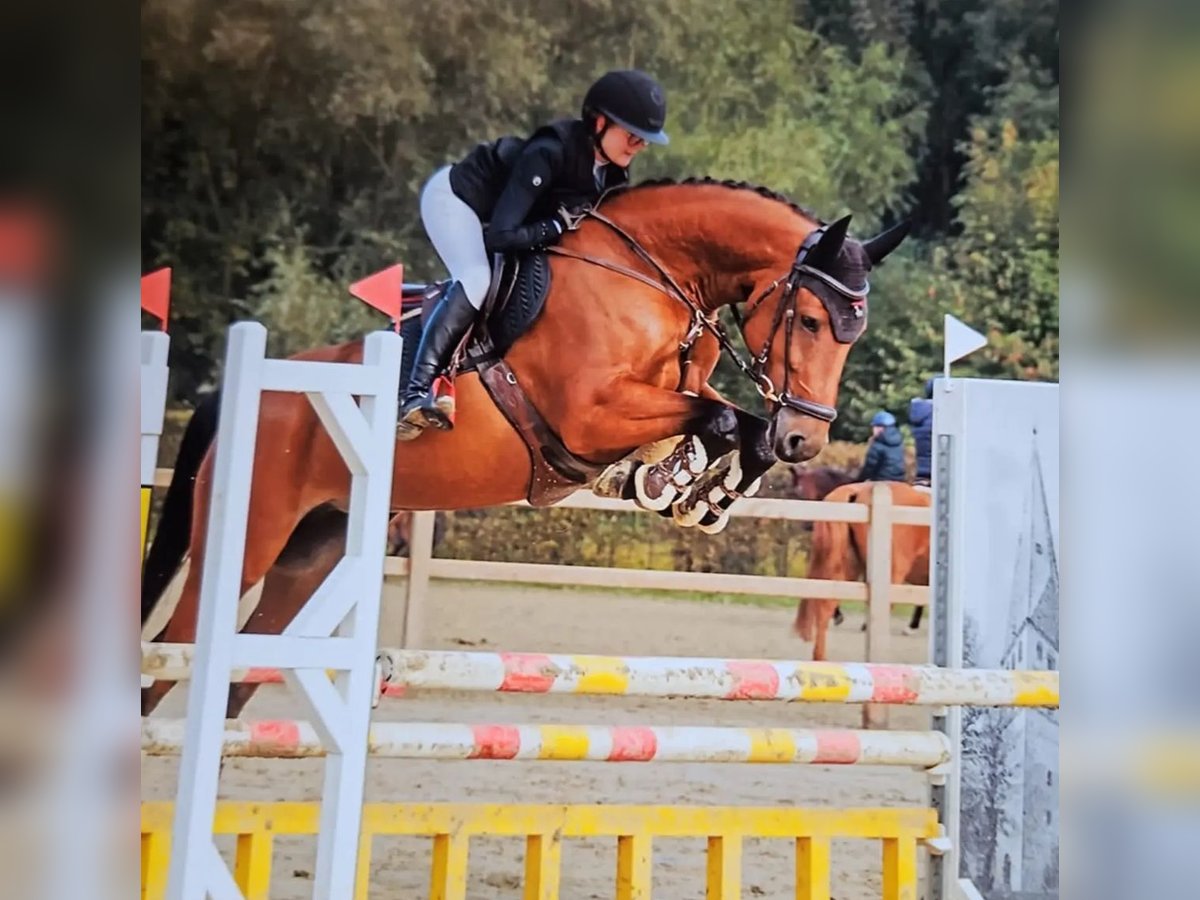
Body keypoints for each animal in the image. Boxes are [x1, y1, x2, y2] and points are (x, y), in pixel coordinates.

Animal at [141, 177, 910, 716]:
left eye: (854, 335)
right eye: (808, 320)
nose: (807, 439)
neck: (650, 274)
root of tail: (242, 393)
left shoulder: (669, 392)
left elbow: (723, 420)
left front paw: (702, 489)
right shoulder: (590, 416)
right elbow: (719, 421)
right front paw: (681, 484)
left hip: (314, 549)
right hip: (249, 535)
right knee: (172, 650)